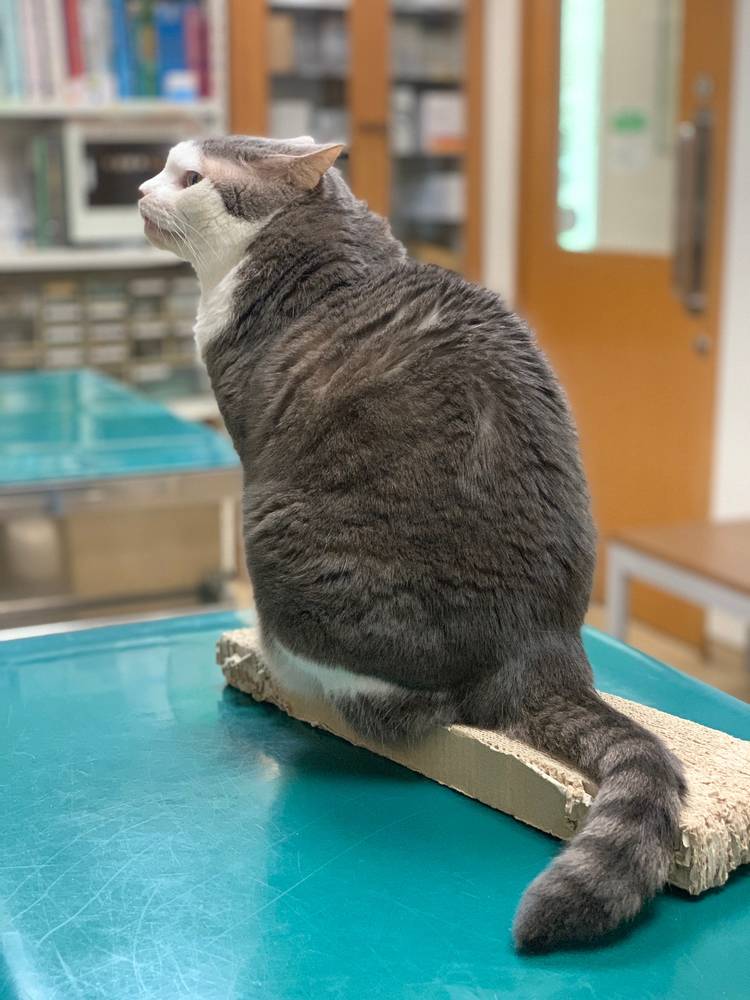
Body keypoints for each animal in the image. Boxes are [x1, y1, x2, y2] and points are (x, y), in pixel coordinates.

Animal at [139, 136, 686, 953]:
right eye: (164, 166)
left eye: (192, 177)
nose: (143, 190)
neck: (308, 245)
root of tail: (542, 644)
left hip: (272, 530)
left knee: (413, 704)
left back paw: (285, 668)